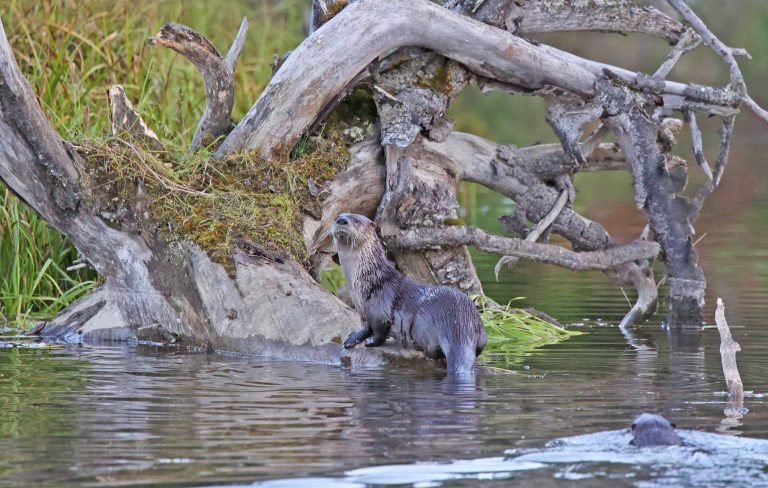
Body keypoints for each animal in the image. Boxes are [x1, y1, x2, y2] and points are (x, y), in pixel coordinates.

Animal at [331, 213, 487, 374]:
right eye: (337, 217)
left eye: (357, 221)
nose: (341, 220)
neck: (367, 278)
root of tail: (460, 327)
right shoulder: (361, 308)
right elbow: (365, 326)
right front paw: (353, 338)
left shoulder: (379, 308)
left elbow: (379, 332)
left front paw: (370, 342)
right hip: (482, 332)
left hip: (424, 323)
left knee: (433, 351)